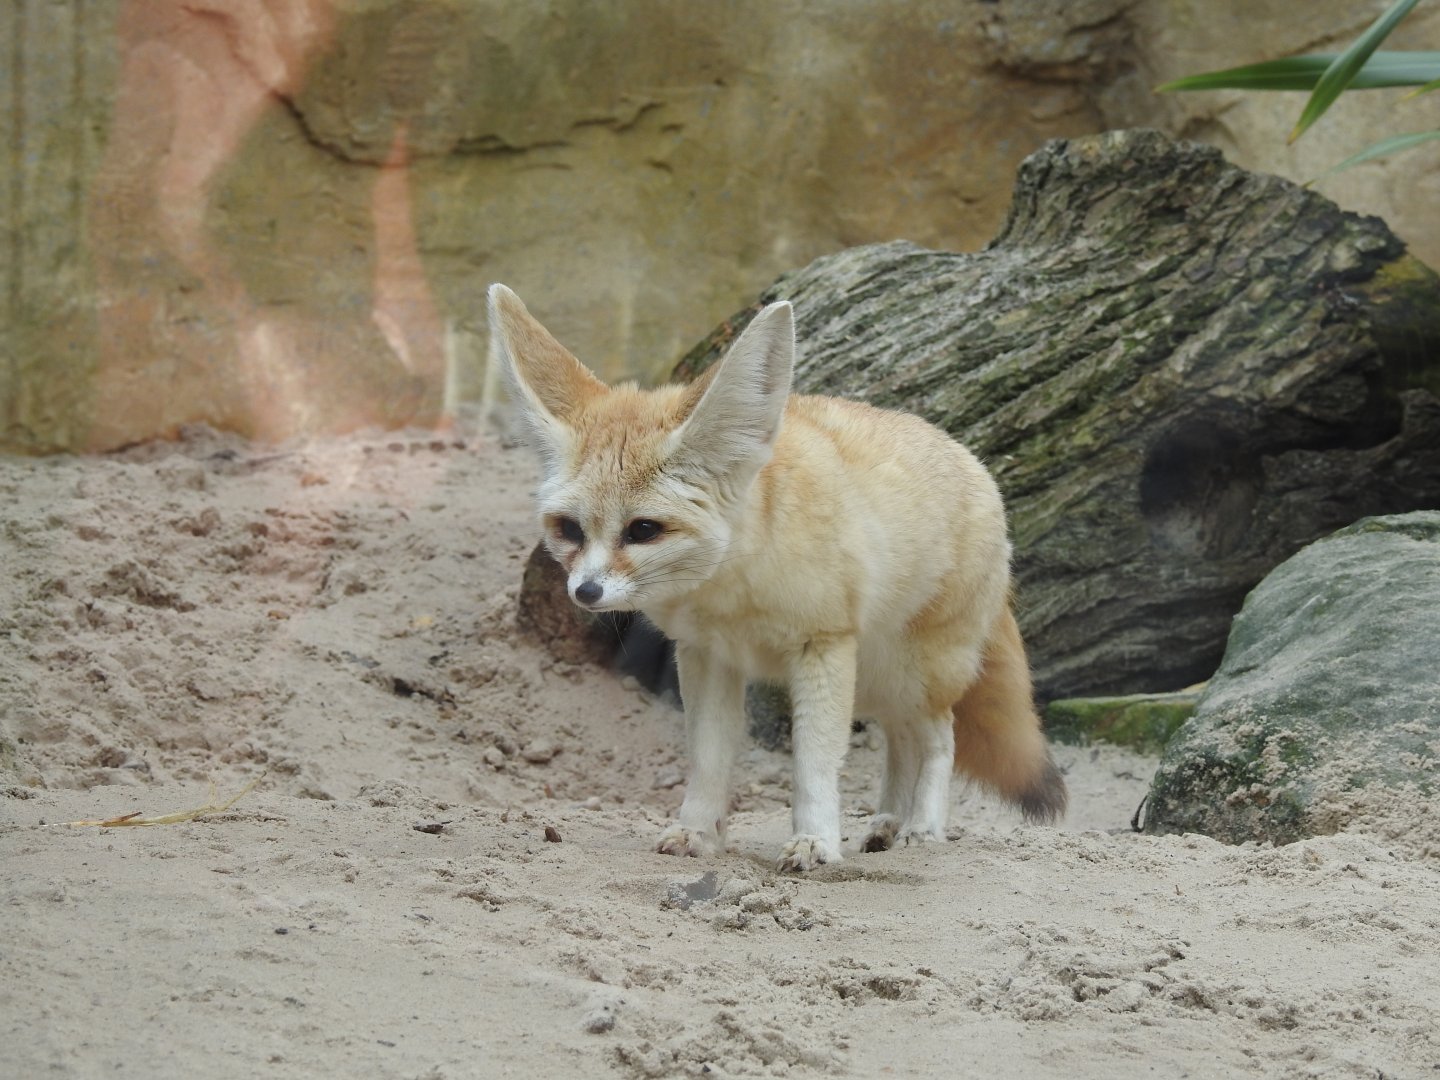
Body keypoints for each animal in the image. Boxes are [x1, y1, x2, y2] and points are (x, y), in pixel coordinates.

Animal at [489, 284, 1067, 871]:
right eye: (569, 529)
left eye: (643, 530)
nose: (584, 593)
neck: (734, 591)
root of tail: (972, 461)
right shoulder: (707, 655)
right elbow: (708, 757)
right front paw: (696, 831)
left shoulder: (822, 646)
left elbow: (814, 762)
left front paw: (815, 841)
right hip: (878, 679)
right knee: (900, 737)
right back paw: (886, 823)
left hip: (914, 672)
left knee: (937, 736)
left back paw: (921, 827)